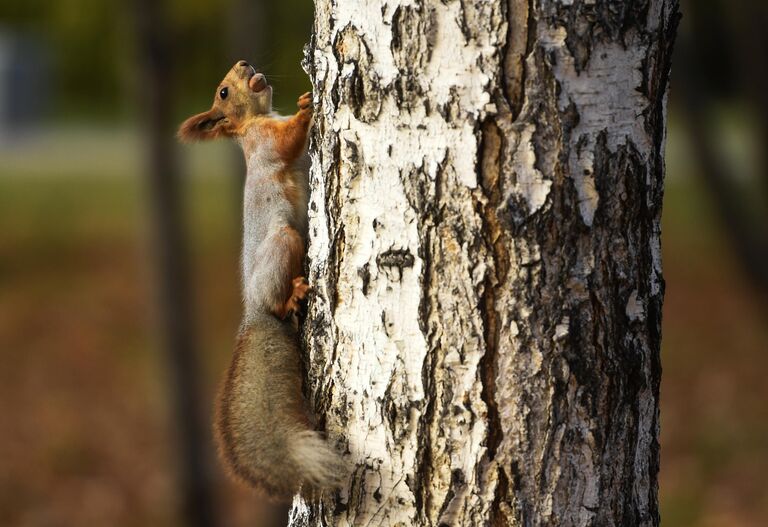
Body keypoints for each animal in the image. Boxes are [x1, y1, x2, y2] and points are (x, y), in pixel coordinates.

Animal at [178, 59, 344, 502]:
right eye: (222, 91)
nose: (243, 63)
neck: (256, 120)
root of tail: (253, 311)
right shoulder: (265, 141)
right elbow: (288, 141)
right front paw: (307, 107)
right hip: (284, 242)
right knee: (277, 298)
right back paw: (292, 297)